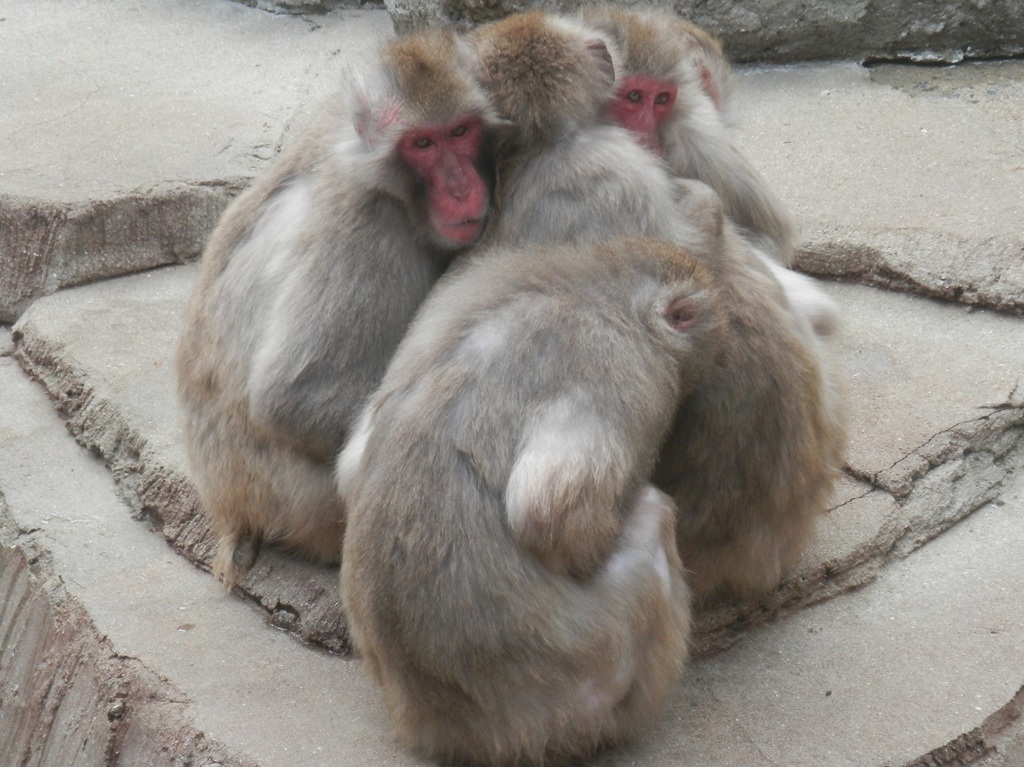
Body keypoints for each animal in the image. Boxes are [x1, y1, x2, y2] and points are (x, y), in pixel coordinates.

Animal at [180, 28, 507, 585]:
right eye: (422, 143)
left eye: (460, 131)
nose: (461, 186)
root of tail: (227, 505)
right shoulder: (364, 227)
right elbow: (293, 398)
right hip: (297, 503)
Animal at [335, 236, 712, 761]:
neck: (600, 286)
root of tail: (445, 726)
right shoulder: (624, 369)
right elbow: (548, 515)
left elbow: (351, 466)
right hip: (580, 682)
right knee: (655, 515)